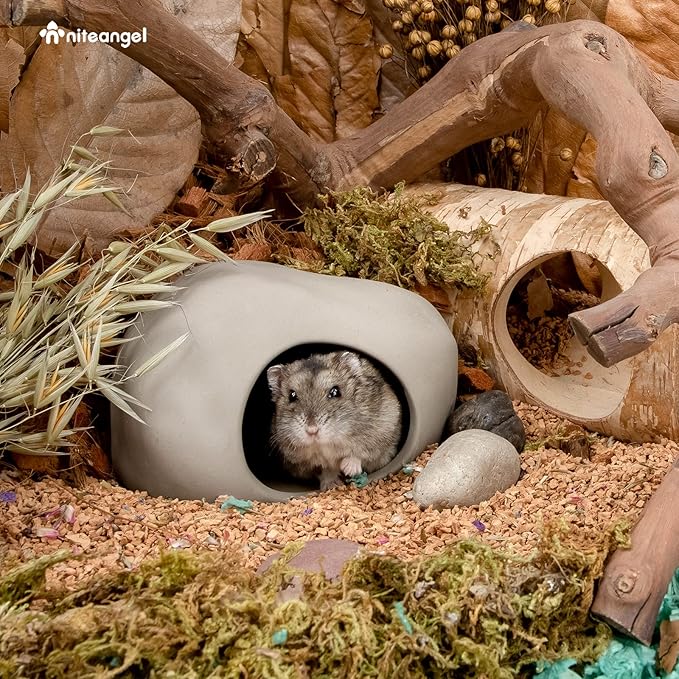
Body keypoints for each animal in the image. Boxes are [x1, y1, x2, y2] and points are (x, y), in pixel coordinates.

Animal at [266, 351, 402, 490]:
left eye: (335, 391)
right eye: (291, 395)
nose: (312, 430)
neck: (328, 445)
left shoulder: (383, 432)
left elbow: (360, 453)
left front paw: (347, 469)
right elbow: (326, 470)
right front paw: (331, 484)